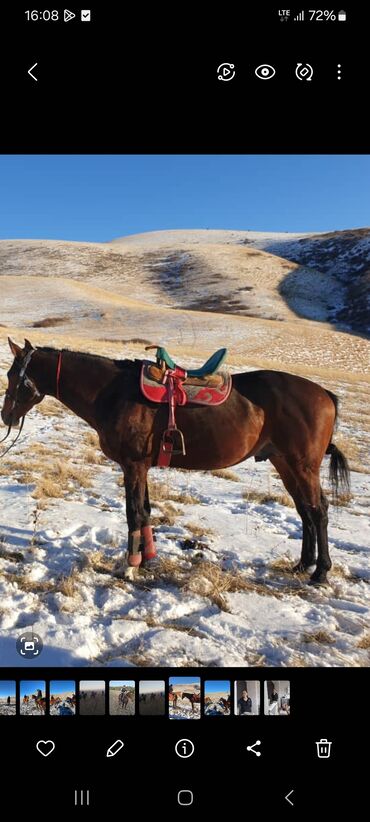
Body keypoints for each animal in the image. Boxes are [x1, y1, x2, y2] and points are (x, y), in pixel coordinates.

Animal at [0, 340, 350, 584]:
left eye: (14, 375)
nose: (5, 416)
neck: (111, 393)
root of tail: (325, 395)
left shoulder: (133, 465)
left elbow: (134, 512)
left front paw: (130, 568)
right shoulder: (140, 467)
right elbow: (145, 511)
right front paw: (147, 558)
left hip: (303, 465)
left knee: (318, 511)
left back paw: (320, 572)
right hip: (284, 463)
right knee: (305, 511)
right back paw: (302, 564)